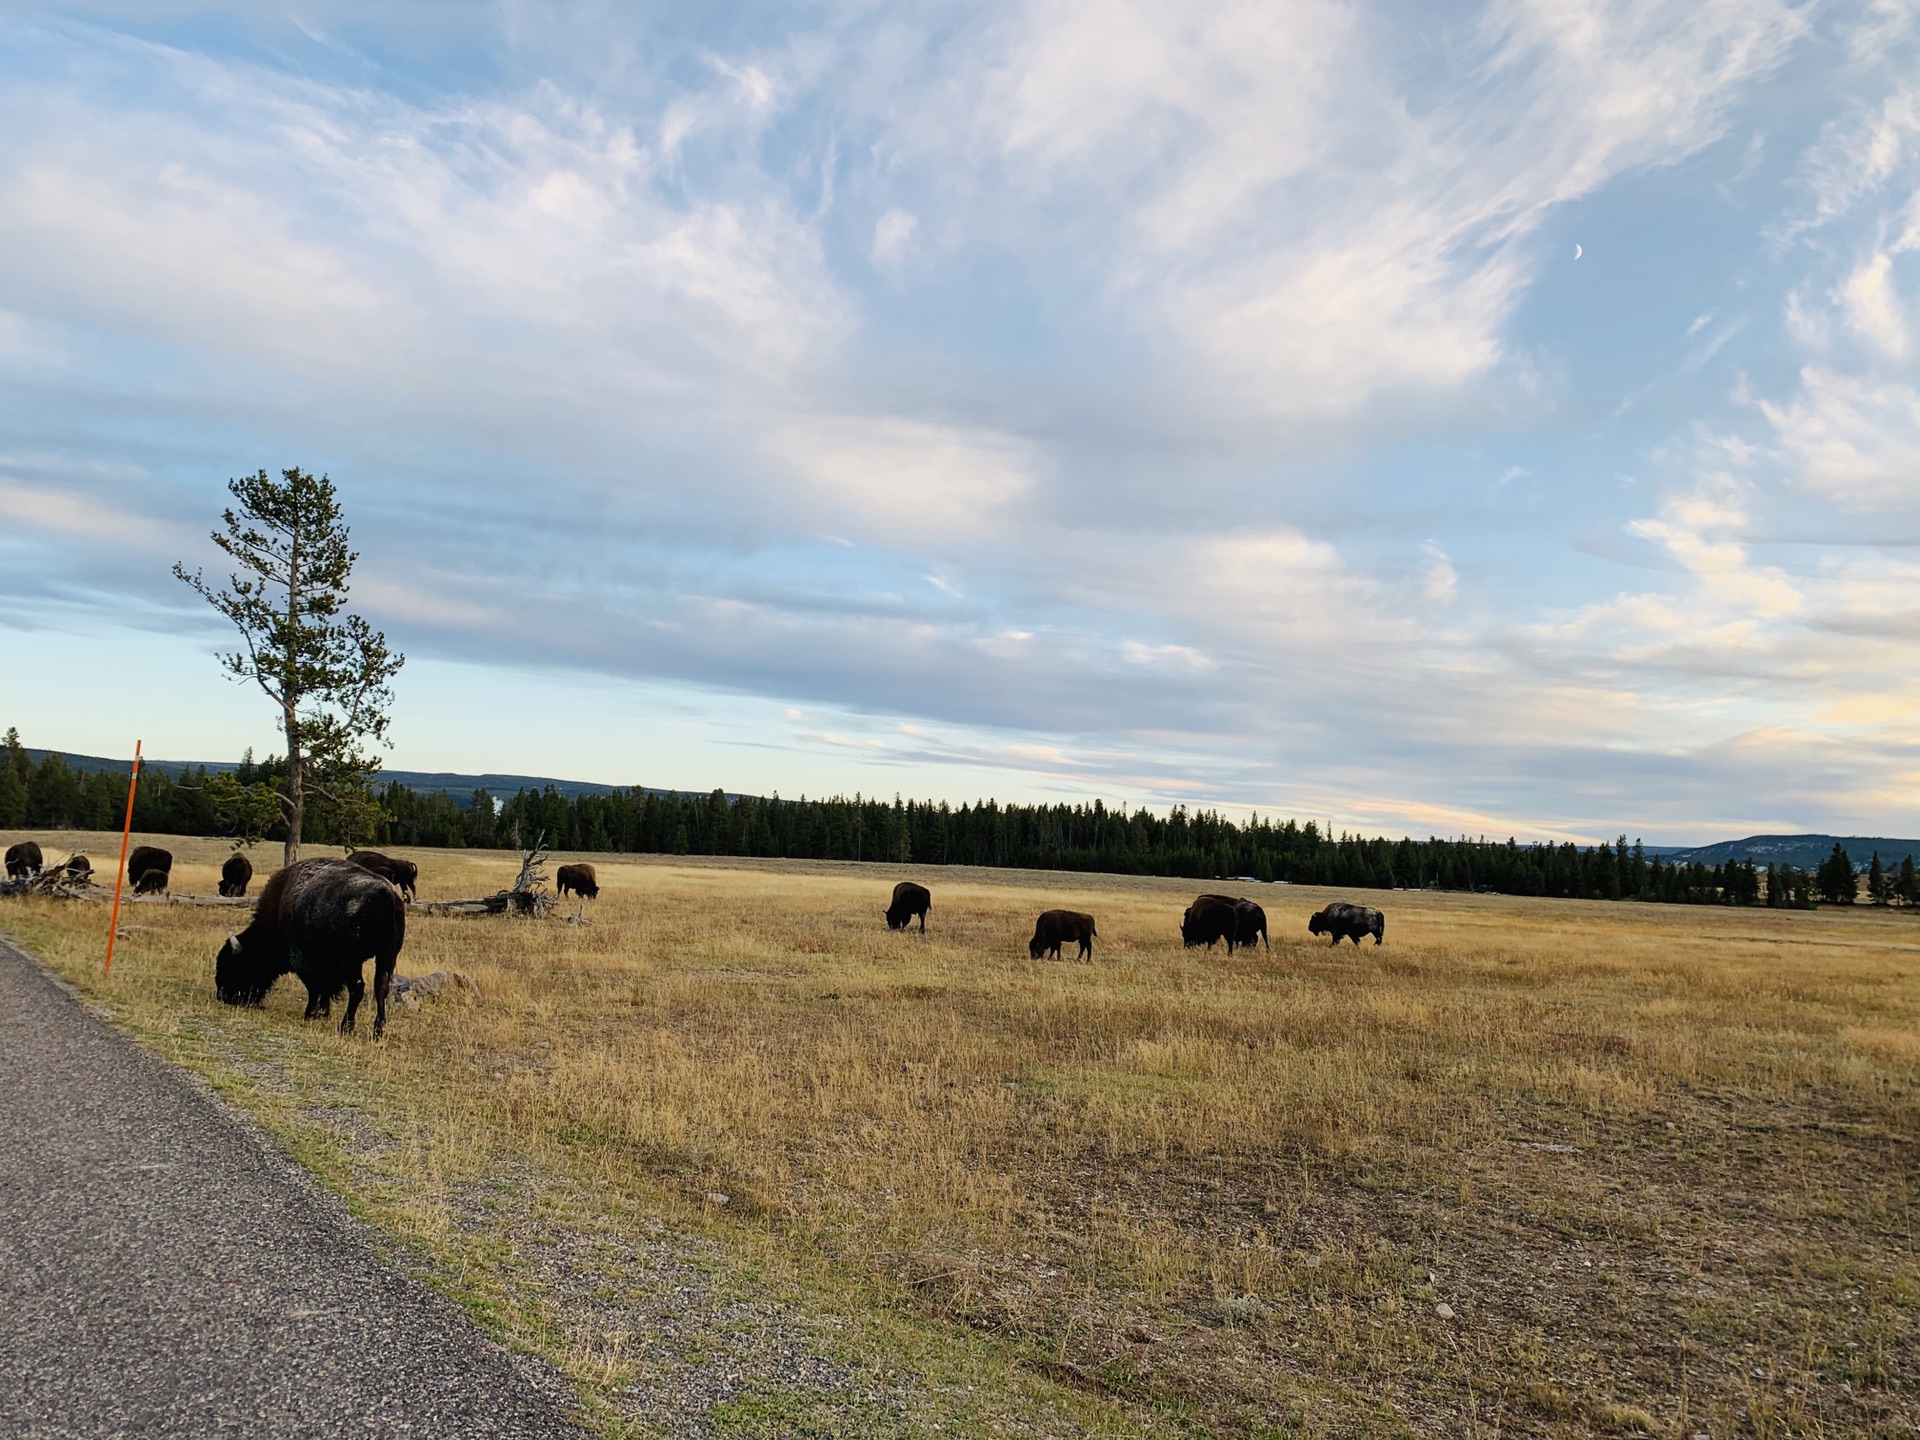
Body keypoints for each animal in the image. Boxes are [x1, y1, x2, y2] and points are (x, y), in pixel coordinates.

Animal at [216, 856, 407, 1036]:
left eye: (233, 965)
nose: (223, 995)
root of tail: (386, 893)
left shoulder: (302, 957)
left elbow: (314, 987)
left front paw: (310, 1013)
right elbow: (326, 988)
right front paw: (324, 1013)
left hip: (352, 960)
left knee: (357, 988)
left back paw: (345, 1027)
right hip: (387, 955)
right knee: (381, 987)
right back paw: (378, 1031)